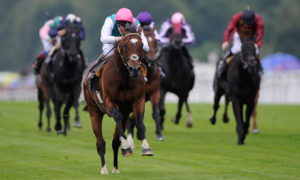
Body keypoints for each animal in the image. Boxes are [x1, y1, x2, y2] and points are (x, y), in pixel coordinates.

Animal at [83, 26, 154, 174]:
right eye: (125, 45)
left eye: (141, 45)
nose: (134, 68)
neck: (124, 78)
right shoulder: (110, 104)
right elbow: (117, 116)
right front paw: (126, 146)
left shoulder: (138, 101)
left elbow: (140, 123)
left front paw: (146, 147)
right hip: (94, 112)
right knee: (100, 142)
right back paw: (104, 169)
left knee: (115, 142)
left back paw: (115, 168)